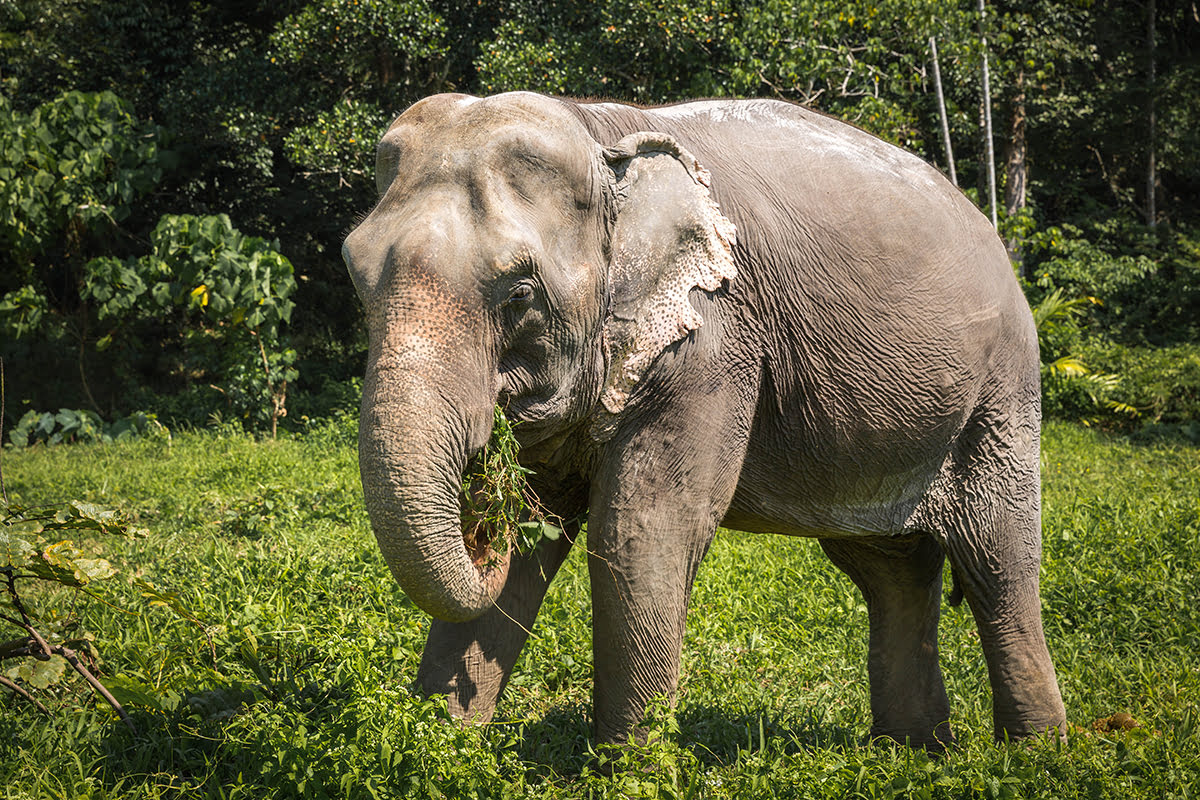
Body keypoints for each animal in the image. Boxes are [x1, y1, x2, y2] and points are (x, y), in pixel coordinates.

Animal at [345, 94, 1070, 753]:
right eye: (356, 278)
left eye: (520, 294)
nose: (479, 525)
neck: (598, 133)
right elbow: (535, 532)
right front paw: (440, 755)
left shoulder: (712, 337)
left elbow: (640, 526)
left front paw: (630, 773)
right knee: (891, 566)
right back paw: (913, 751)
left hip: (1001, 390)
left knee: (997, 559)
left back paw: (1034, 754)